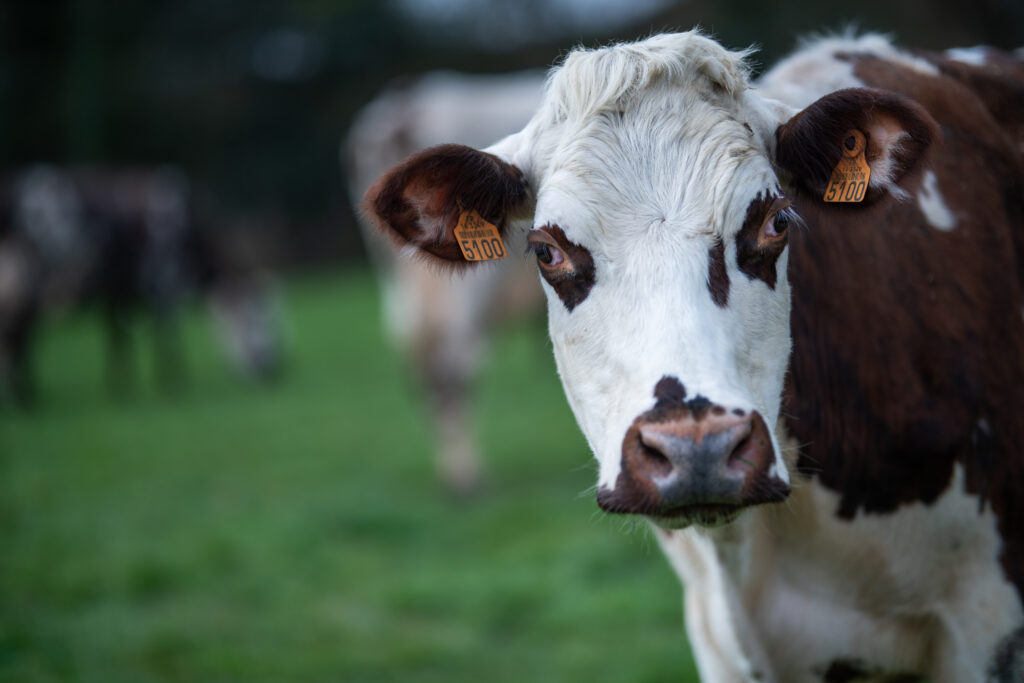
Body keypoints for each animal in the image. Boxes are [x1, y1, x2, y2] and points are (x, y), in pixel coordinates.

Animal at [0, 163, 282, 405]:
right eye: (258, 318)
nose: (272, 368)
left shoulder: (121, 287)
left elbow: (120, 337)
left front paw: (121, 388)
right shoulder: (165, 281)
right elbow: (164, 334)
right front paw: (171, 384)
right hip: (26, 273)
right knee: (21, 328)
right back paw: (25, 396)